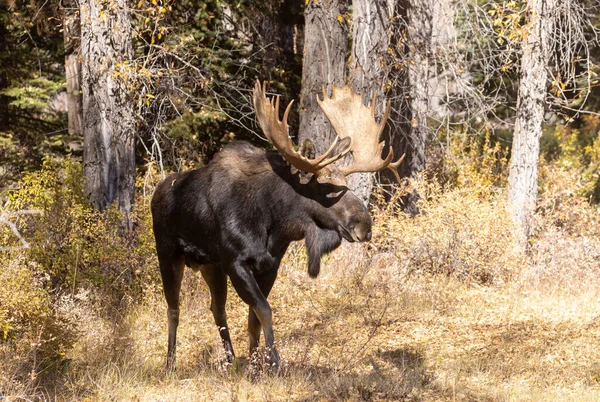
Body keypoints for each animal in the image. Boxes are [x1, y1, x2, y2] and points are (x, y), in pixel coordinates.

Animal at [151, 80, 404, 372]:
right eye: (326, 188)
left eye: (346, 185)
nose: (365, 226)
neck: (274, 222)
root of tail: (156, 194)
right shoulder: (235, 262)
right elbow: (264, 310)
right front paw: (273, 361)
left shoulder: (270, 264)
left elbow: (253, 318)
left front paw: (254, 364)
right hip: (168, 254)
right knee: (173, 308)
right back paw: (170, 362)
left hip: (209, 264)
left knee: (217, 308)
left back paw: (230, 360)